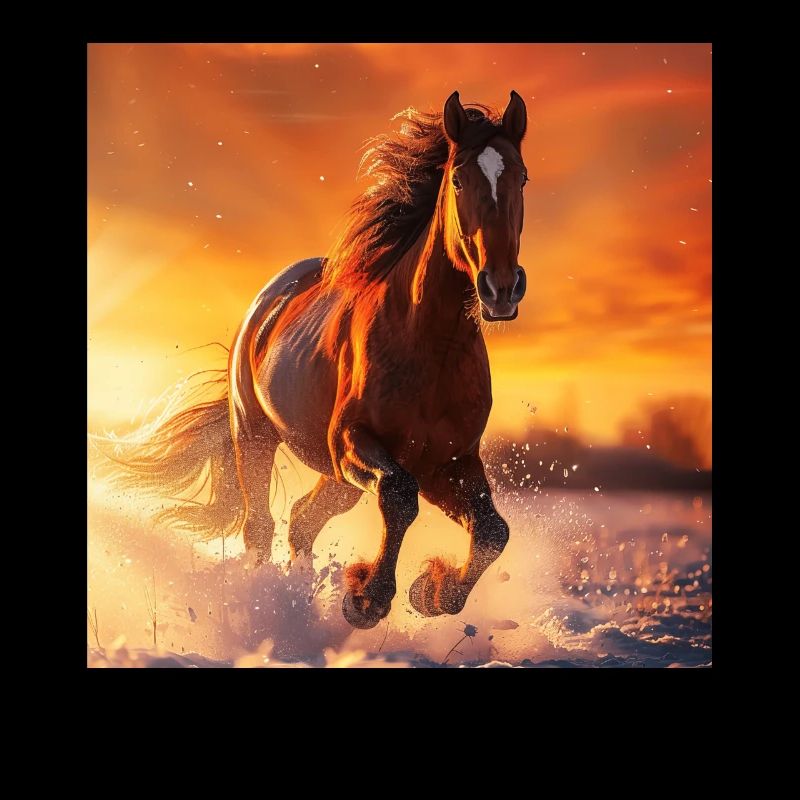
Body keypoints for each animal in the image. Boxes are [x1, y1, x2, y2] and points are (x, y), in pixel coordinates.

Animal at [111, 90, 529, 629]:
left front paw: (431, 593)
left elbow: (493, 530)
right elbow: (399, 497)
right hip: (258, 437)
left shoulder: (449, 462)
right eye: (458, 178)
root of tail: (265, 303)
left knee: (302, 524)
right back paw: (267, 605)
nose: (500, 288)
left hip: (337, 477)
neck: (432, 348)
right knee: (260, 527)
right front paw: (367, 599)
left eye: (521, 176)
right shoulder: (355, 443)